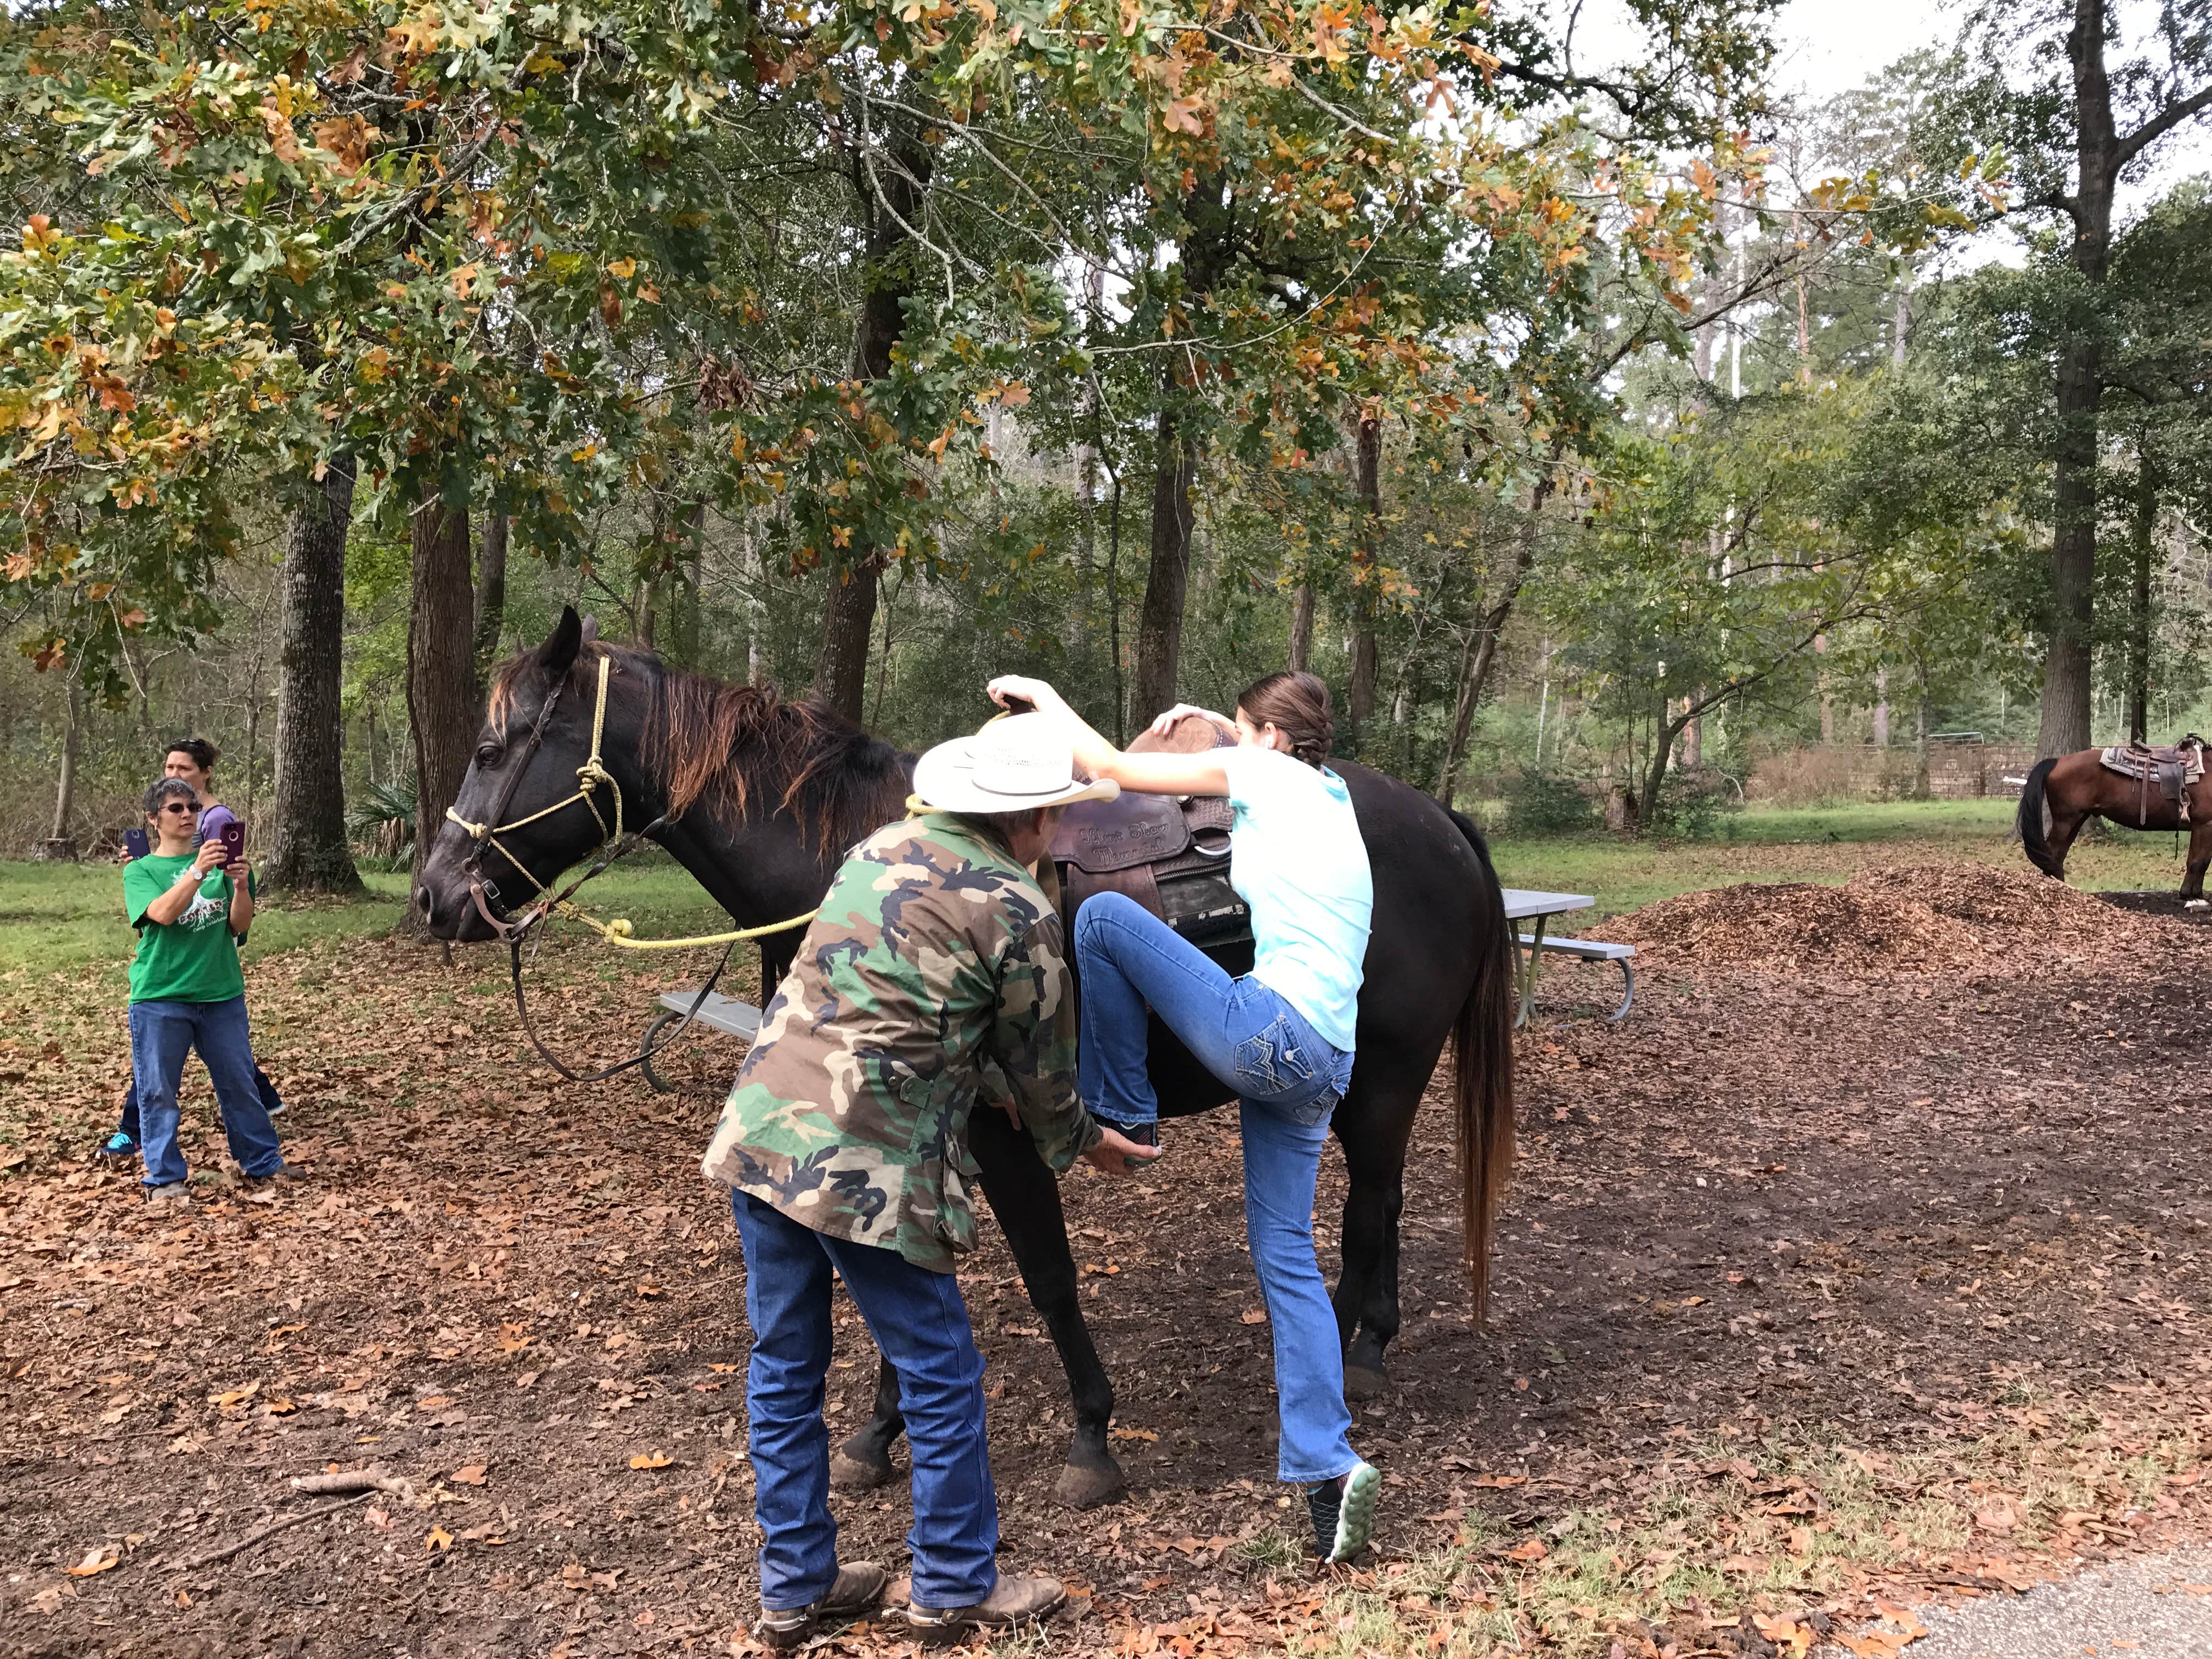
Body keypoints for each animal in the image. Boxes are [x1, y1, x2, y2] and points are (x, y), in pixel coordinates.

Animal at [415, 607, 1516, 1508]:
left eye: (492, 745)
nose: (434, 895)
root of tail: (1440, 820)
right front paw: (874, 1436)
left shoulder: (1004, 1130)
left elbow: (1048, 1274)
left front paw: (1090, 1437)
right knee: (1383, 1202)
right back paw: (1364, 1341)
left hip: (1386, 1074)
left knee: (1371, 1204)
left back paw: (1348, 1362)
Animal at [2018, 743, 2212, 901]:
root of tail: (2058, 761)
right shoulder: (2203, 825)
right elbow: (2196, 862)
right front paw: (2190, 896)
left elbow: (2204, 862)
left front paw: (2197, 894)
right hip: (2065, 820)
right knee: (2051, 851)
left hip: (2076, 820)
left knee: (2058, 855)